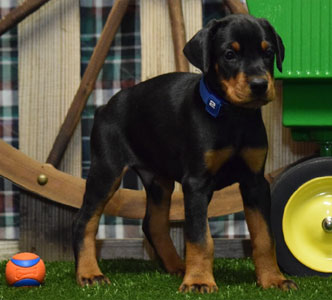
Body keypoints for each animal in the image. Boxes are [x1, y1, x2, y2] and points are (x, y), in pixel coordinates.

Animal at [72, 14, 298, 292]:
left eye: (268, 53)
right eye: (229, 54)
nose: (259, 85)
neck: (232, 118)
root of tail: (104, 107)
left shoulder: (255, 182)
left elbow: (264, 236)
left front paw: (273, 279)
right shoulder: (197, 183)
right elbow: (200, 237)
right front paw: (199, 280)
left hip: (159, 180)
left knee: (153, 224)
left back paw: (177, 266)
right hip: (106, 170)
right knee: (84, 221)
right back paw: (90, 273)